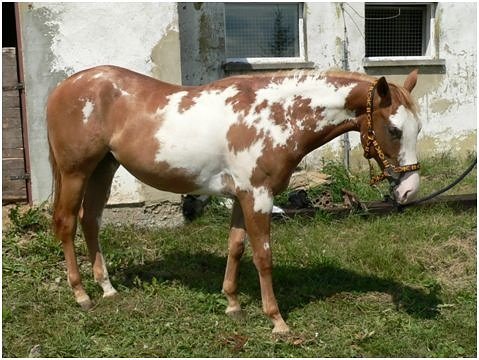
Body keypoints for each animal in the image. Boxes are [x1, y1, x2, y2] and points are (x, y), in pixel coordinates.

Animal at [46, 66, 420, 334]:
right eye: (394, 130)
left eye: (417, 128)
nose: (410, 190)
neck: (275, 116)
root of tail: (63, 88)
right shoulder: (258, 197)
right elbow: (263, 256)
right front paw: (277, 321)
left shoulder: (242, 197)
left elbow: (236, 247)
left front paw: (233, 304)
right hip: (75, 172)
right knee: (66, 222)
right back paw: (81, 295)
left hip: (104, 169)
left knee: (90, 221)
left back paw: (107, 288)